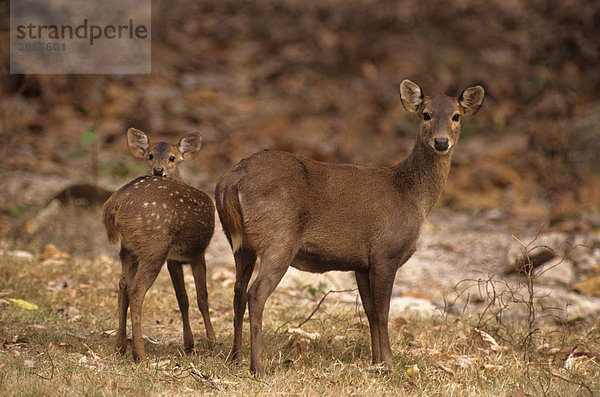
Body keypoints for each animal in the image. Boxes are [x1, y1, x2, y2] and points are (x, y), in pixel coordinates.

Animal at [216, 79, 482, 372]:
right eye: (426, 114)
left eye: (456, 116)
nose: (441, 141)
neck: (413, 196)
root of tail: (231, 181)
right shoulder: (385, 252)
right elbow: (383, 312)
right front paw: (388, 364)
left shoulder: (362, 263)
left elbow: (370, 311)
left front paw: (376, 361)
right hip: (279, 239)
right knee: (256, 293)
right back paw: (258, 366)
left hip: (241, 244)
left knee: (238, 291)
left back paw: (236, 357)